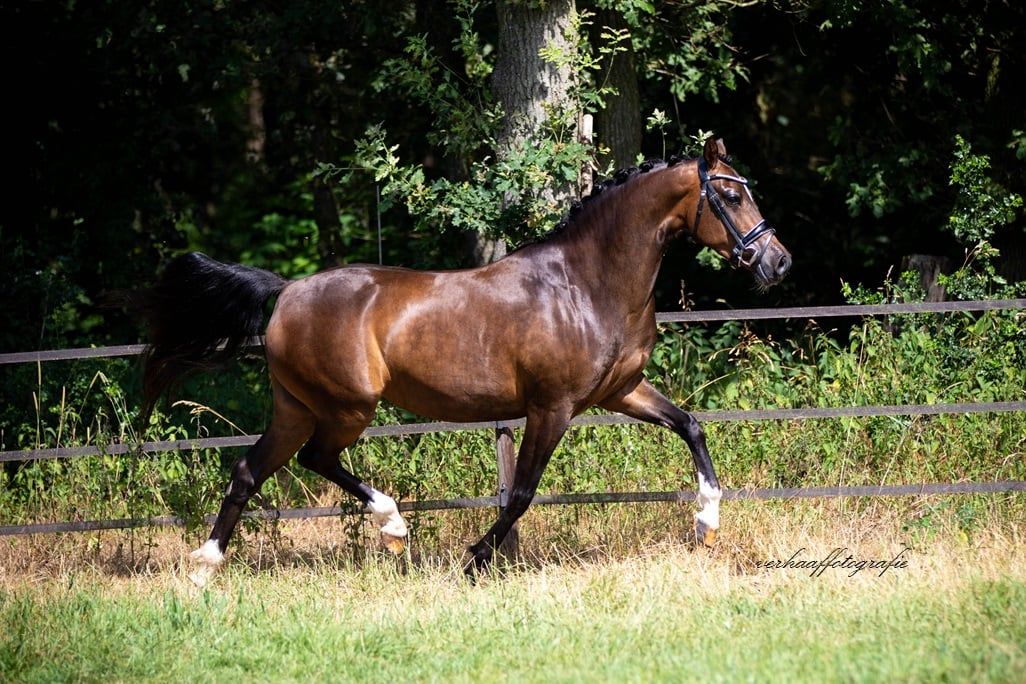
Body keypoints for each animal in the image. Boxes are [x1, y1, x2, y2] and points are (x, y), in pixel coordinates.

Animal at [134, 137, 791, 585]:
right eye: (730, 194)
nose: (778, 262)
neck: (586, 284)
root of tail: (288, 291)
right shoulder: (551, 407)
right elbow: (521, 491)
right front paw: (476, 559)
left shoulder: (620, 391)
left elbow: (691, 426)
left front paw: (707, 522)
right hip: (347, 406)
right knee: (317, 459)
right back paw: (393, 525)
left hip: (296, 406)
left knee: (250, 471)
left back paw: (205, 566)